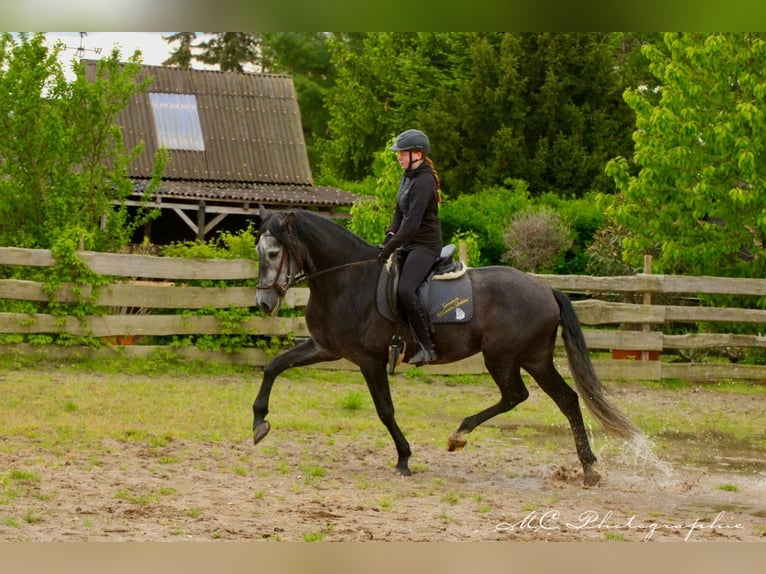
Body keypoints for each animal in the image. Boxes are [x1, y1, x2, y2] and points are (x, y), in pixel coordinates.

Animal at [253, 208, 642, 486]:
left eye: (272, 253)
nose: (263, 303)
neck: (348, 280)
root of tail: (546, 289)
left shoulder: (369, 359)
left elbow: (385, 410)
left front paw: (404, 458)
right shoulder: (326, 347)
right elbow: (274, 365)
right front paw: (259, 422)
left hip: (503, 358)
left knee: (517, 396)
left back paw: (459, 435)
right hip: (535, 359)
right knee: (566, 400)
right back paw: (588, 468)